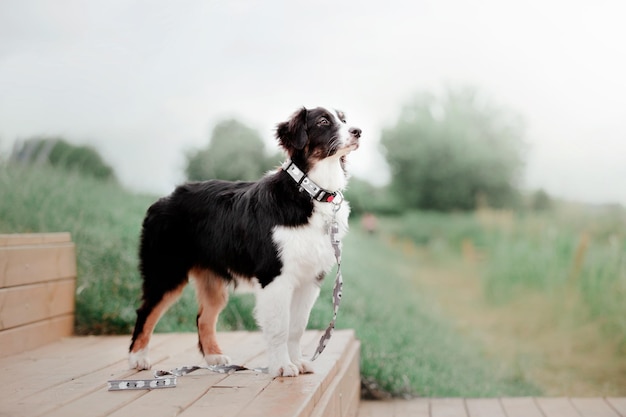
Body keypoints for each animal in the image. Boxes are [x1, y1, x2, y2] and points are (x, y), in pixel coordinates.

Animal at [127, 105, 360, 376]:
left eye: (344, 119)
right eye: (323, 121)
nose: (358, 131)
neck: (310, 191)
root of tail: (162, 200)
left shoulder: (310, 278)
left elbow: (297, 326)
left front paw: (297, 361)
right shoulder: (274, 275)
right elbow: (280, 327)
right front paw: (282, 366)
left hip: (213, 280)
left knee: (203, 318)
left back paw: (215, 358)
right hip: (166, 272)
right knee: (146, 312)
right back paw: (137, 358)